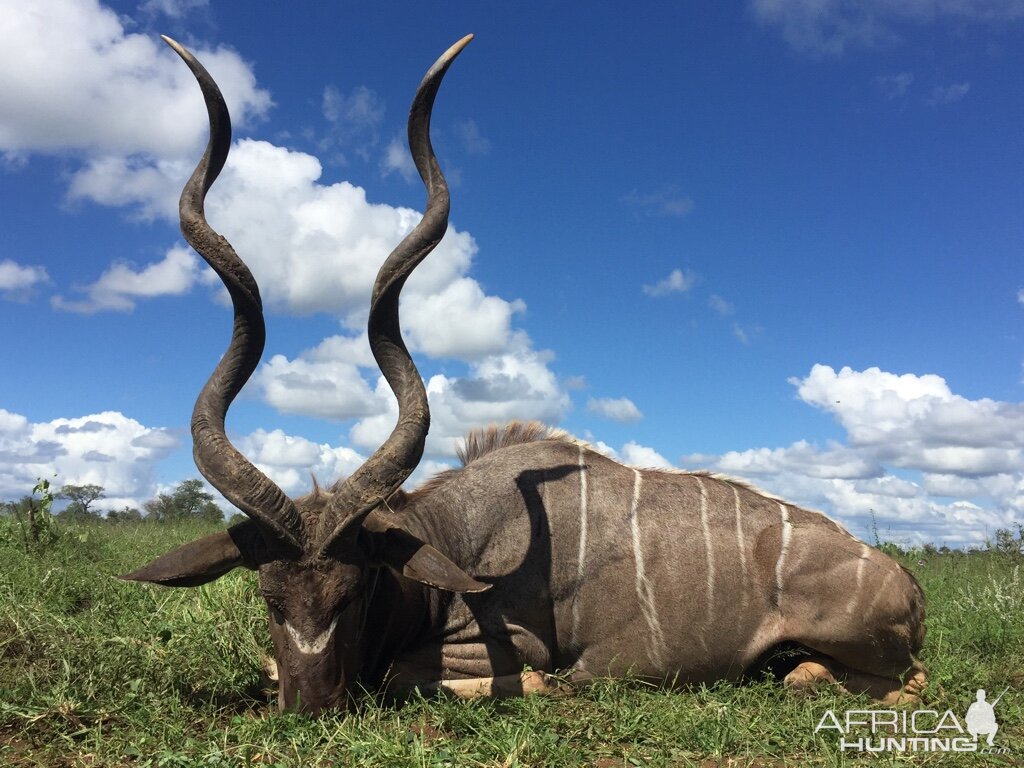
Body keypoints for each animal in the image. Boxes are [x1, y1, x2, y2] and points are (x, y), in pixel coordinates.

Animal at [121, 31, 929, 716]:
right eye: (268, 596)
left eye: (355, 590)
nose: (311, 706)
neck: (451, 539)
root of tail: (905, 583)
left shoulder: (501, 644)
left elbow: (432, 674)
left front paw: (548, 685)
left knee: (881, 680)